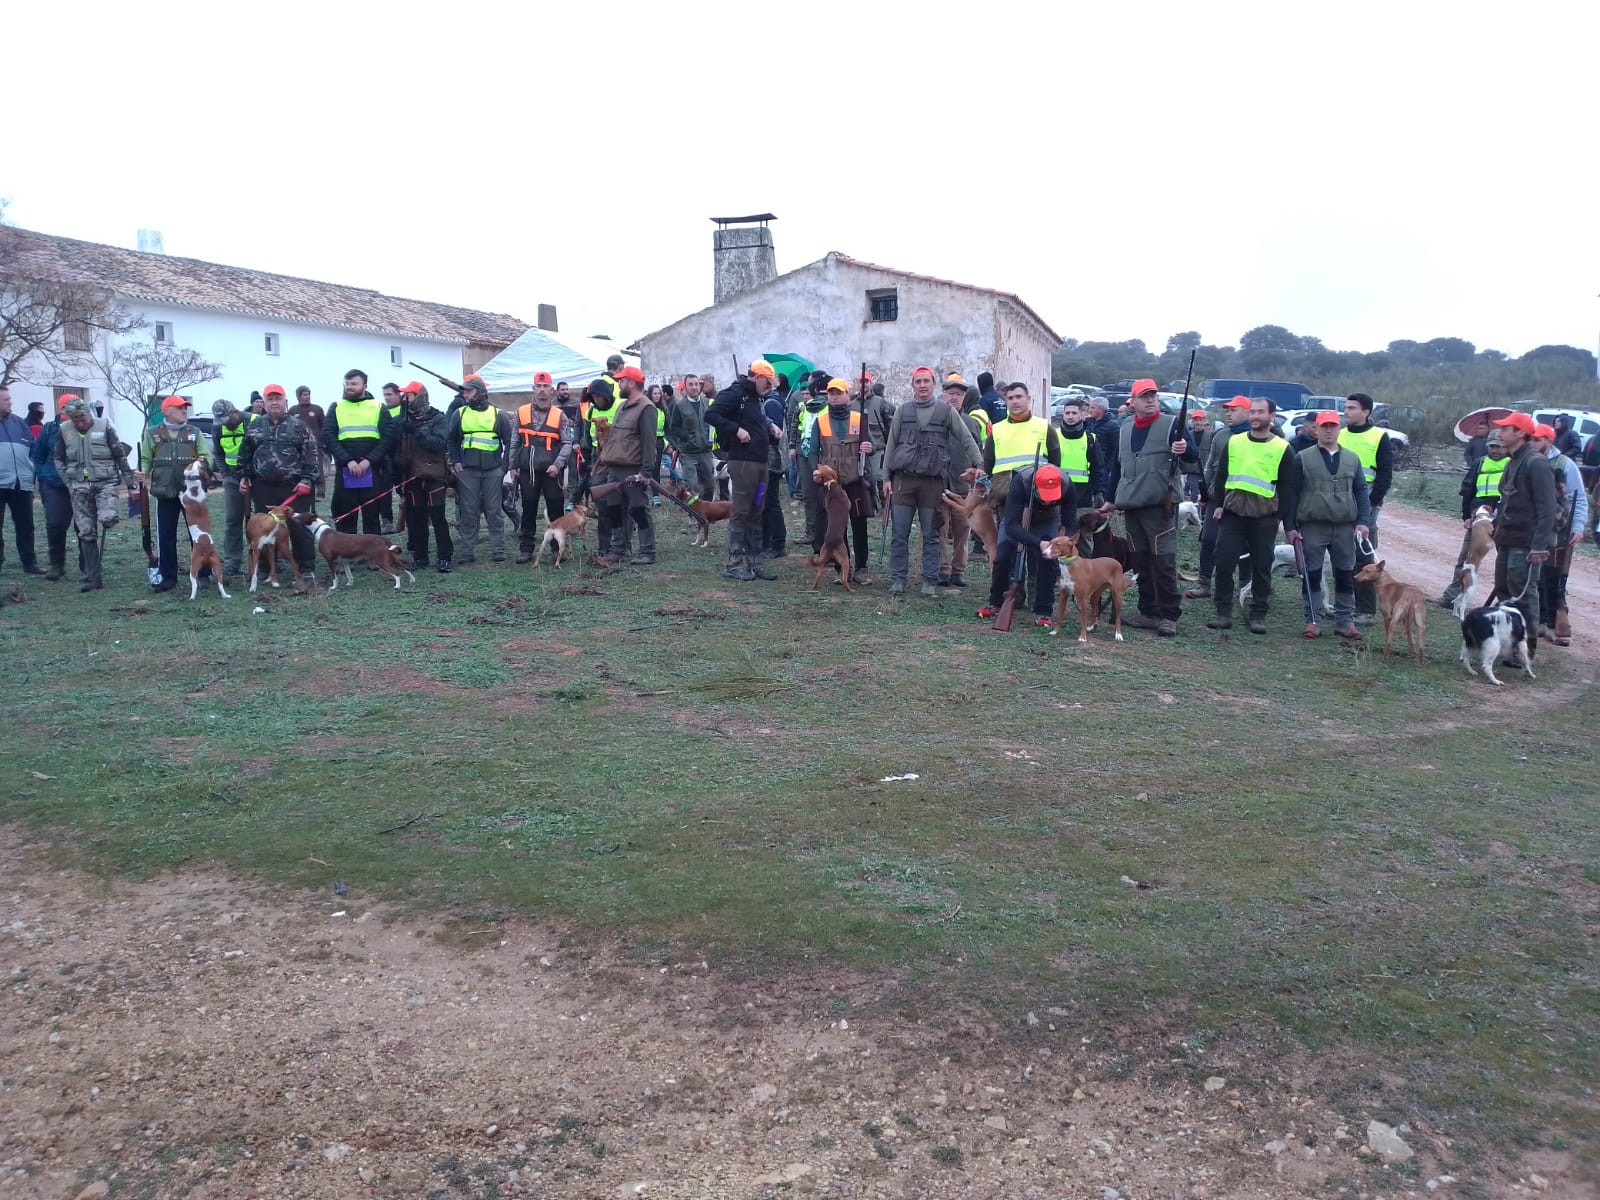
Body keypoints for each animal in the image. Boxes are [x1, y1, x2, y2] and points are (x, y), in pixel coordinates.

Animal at [180, 464, 230, 604]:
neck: (195, 490)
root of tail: (206, 549)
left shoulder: (184, 499)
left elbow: (181, 496)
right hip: (218, 566)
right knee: (220, 584)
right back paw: (225, 595)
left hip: (193, 568)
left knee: (194, 585)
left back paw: (192, 597)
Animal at [806, 464, 857, 592]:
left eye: (822, 466)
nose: (817, 464)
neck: (830, 484)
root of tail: (830, 545)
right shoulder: (848, 502)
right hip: (845, 558)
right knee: (844, 578)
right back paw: (850, 589)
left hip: (822, 558)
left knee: (818, 576)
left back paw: (813, 587)